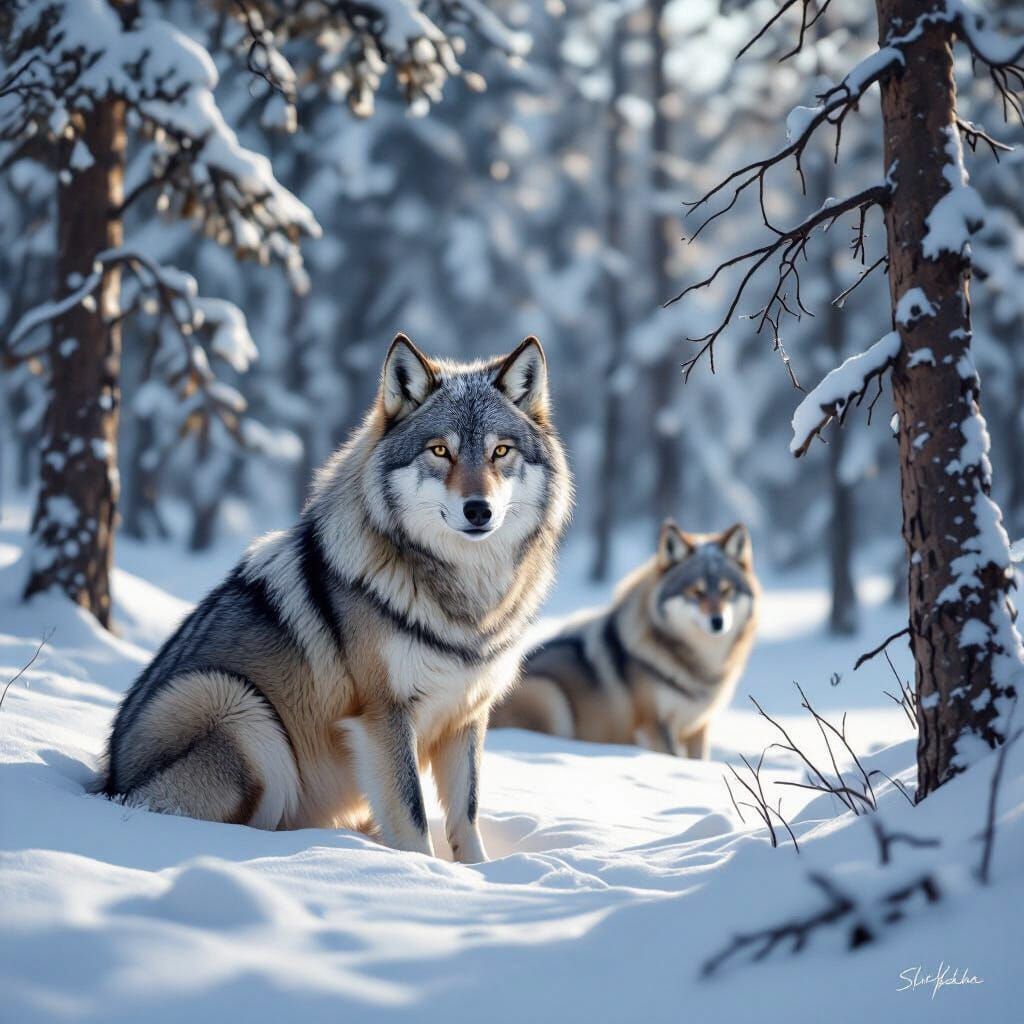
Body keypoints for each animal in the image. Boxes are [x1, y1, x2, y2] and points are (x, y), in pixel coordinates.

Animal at [101, 334, 571, 862]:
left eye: (500, 451)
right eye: (440, 451)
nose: (479, 510)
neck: (463, 599)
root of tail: (110, 785)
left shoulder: (467, 716)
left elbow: (465, 816)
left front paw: (477, 874)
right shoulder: (384, 716)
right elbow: (411, 818)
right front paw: (421, 872)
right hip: (235, 704)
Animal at [491, 521, 758, 758]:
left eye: (726, 590)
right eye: (696, 592)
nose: (718, 621)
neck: (699, 666)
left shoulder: (699, 728)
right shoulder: (655, 724)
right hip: (549, 693)